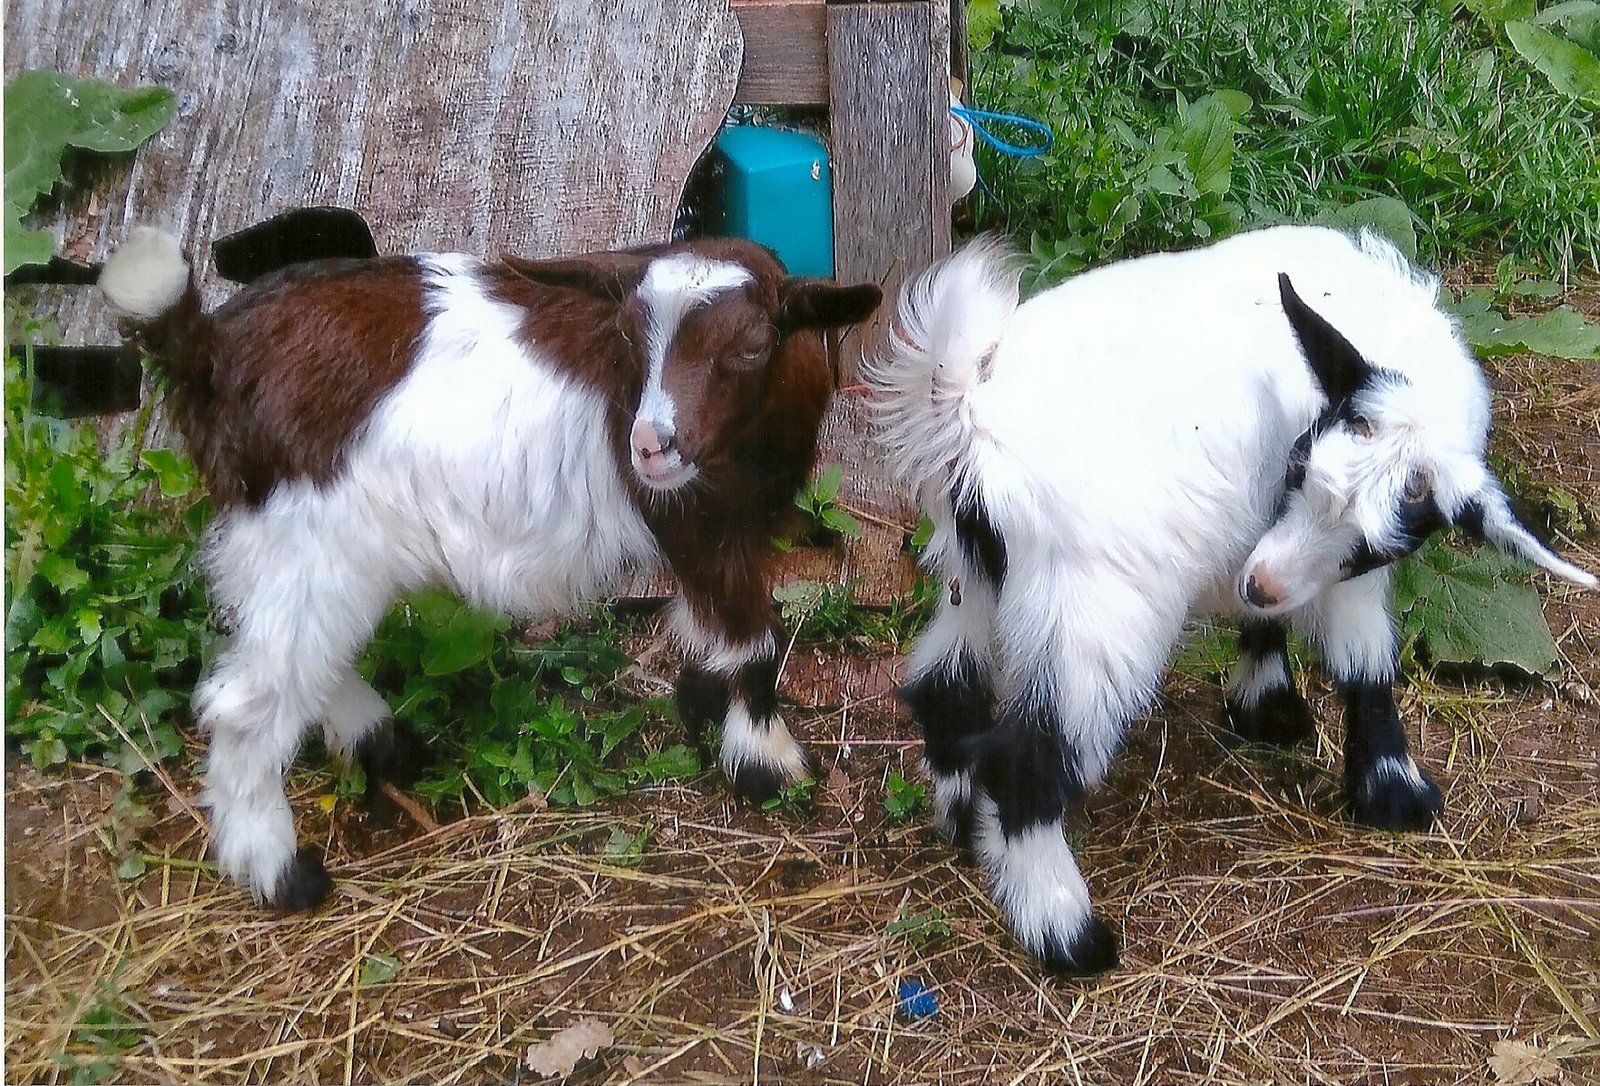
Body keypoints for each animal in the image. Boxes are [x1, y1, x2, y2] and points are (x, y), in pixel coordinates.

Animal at [103, 227, 876, 908]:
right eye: (630, 338)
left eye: (752, 345)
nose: (651, 447)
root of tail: (206, 349)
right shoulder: (704, 524)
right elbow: (753, 643)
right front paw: (769, 765)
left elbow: (713, 633)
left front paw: (704, 709)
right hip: (309, 536)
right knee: (249, 700)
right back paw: (281, 874)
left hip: (278, 536)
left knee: (294, 655)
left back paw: (379, 742)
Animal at [870, 225, 1593, 972]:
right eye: (1300, 468)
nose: (1257, 584)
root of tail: (973, 415)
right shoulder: (1333, 570)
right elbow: (1365, 660)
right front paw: (1394, 791)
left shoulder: (1269, 537)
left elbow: (1273, 620)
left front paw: (1265, 703)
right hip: (1097, 610)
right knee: (1025, 763)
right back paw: (1067, 935)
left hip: (978, 572)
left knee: (944, 684)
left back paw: (963, 822)